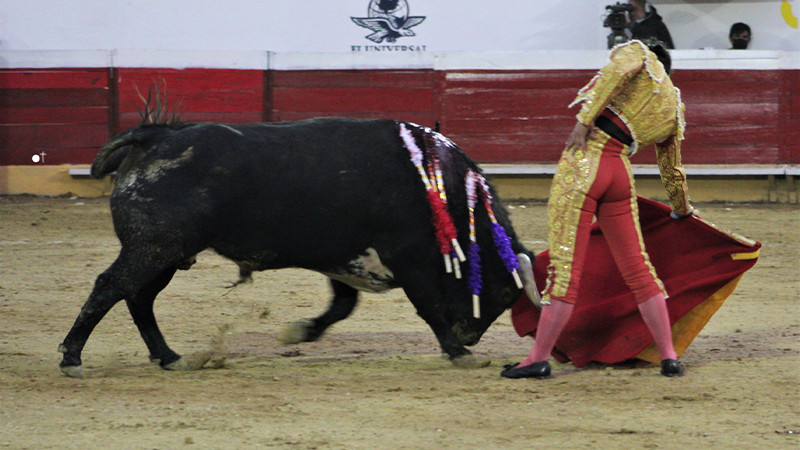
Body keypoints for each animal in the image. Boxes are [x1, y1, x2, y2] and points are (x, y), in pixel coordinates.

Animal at [59, 117, 540, 376]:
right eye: (503, 291)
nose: (469, 335)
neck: (442, 191)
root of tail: (155, 136)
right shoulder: (410, 260)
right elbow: (429, 307)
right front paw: (458, 352)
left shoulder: (345, 259)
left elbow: (342, 306)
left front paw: (300, 331)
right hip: (154, 247)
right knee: (110, 287)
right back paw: (72, 358)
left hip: (168, 254)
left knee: (138, 297)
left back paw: (169, 357)